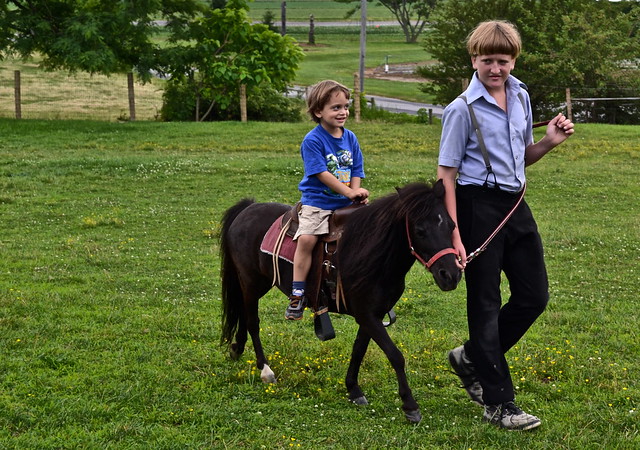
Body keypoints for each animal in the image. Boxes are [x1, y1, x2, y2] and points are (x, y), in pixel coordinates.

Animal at [220, 179, 460, 422]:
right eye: (420, 231)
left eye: (451, 226)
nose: (451, 275)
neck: (368, 251)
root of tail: (248, 208)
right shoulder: (367, 315)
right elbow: (395, 355)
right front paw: (410, 405)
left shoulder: (372, 314)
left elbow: (359, 350)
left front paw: (353, 389)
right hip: (250, 281)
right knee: (253, 322)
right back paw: (265, 370)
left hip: (257, 284)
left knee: (243, 312)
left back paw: (237, 348)